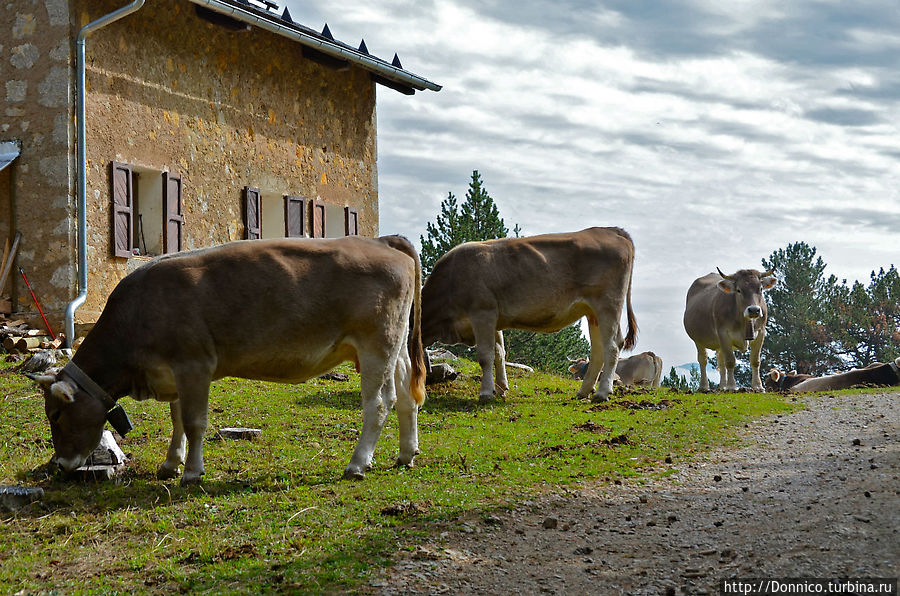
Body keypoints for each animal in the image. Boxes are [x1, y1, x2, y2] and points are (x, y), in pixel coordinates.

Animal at [29, 235, 430, 482]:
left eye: (56, 415)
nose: (60, 465)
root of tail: (379, 240)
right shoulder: (174, 373)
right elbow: (177, 420)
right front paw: (171, 463)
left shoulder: (194, 364)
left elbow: (194, 422)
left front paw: (192, 472)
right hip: (394, 347)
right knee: (406, 397)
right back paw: (406, 454)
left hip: (376, 344)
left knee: (378, 404)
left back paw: (357, 463)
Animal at [420, 228, 636, 406]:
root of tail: (609, 230)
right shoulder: (494, 319)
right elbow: (499, 353)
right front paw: (501, 388)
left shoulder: (482, 313)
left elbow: (485, 356)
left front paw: (486, 393)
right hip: (593, 313)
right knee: (598, 351)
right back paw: (583, 391)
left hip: (607, 305)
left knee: (612, 347)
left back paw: (602, 393)